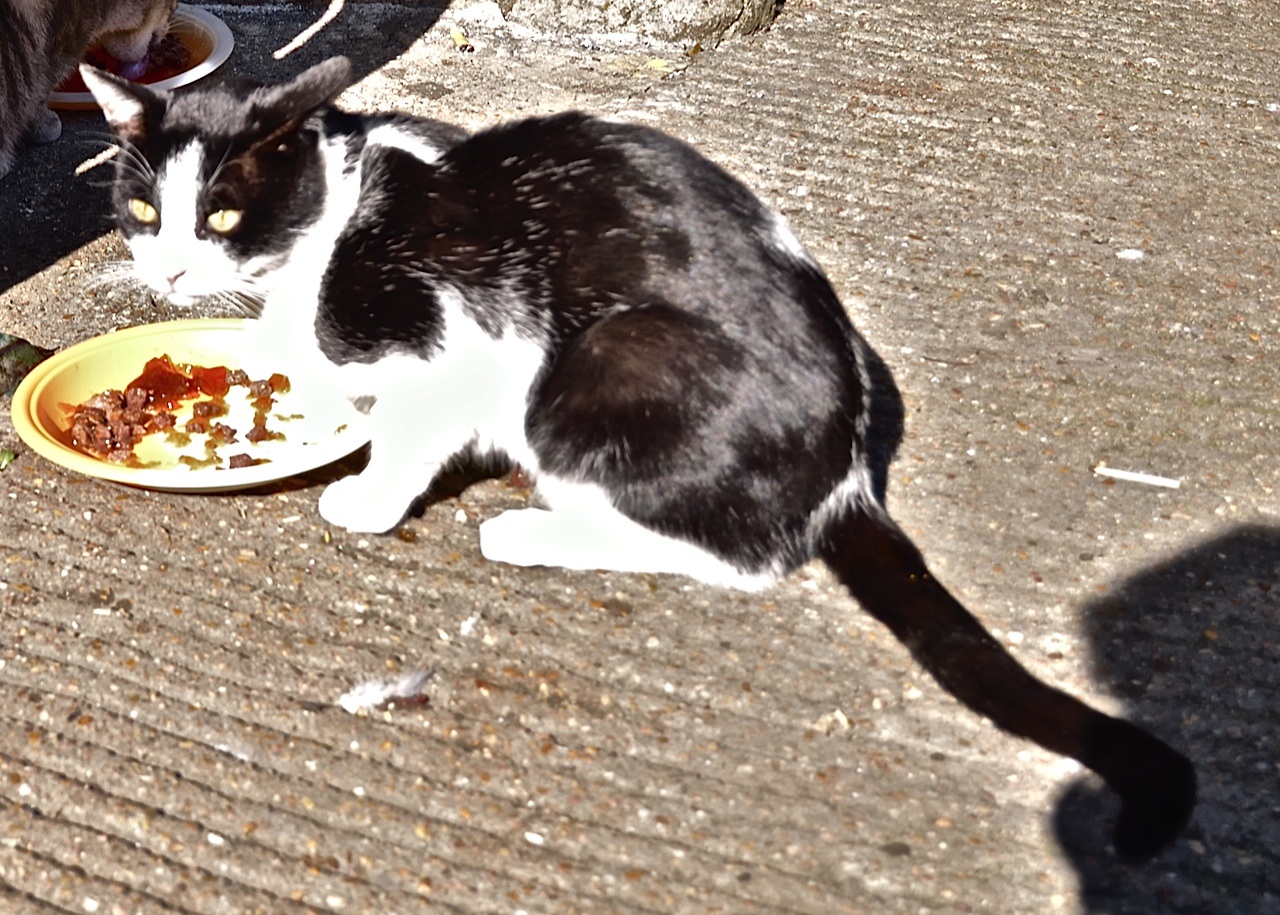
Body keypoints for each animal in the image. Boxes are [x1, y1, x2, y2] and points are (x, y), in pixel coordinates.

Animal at [82, 60, 1198, 865]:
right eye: (141, 214)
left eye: (223, 214)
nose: (167, 271)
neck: (328, 220)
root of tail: (845, 472)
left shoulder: (456, 341)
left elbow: (411, 426)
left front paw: (367, 498)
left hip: (596, 367)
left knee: (739, 553)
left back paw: (528, 530)